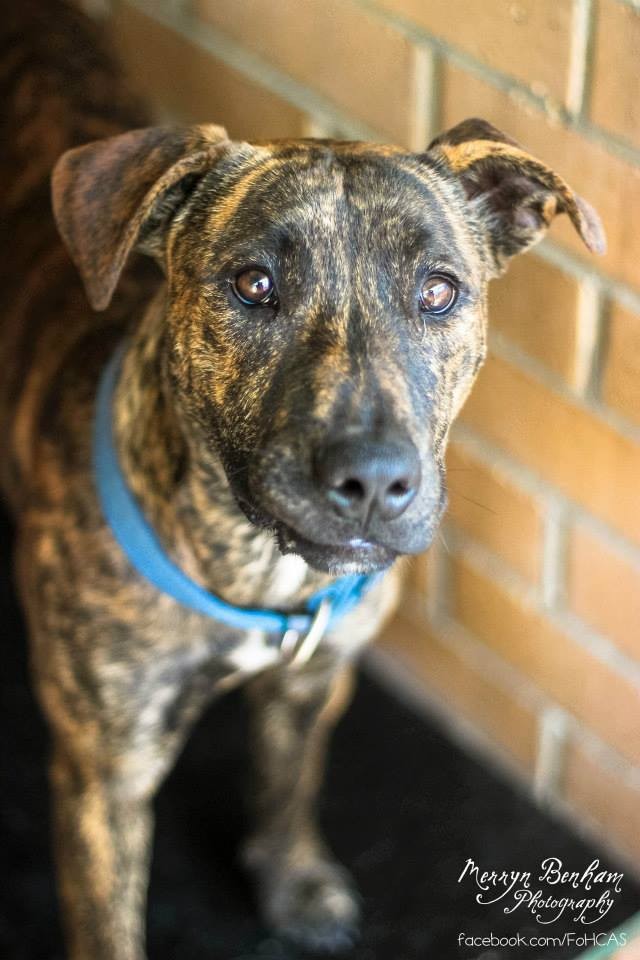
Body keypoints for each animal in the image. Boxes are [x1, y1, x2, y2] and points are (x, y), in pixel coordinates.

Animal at [0, 2, 605, 958]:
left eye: (440, 291)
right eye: (253, 284)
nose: (374, 481)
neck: (257, 569)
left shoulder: (317, 682)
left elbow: (290, 782)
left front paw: (290, 882)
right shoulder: (104, 772)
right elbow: (109, 922)